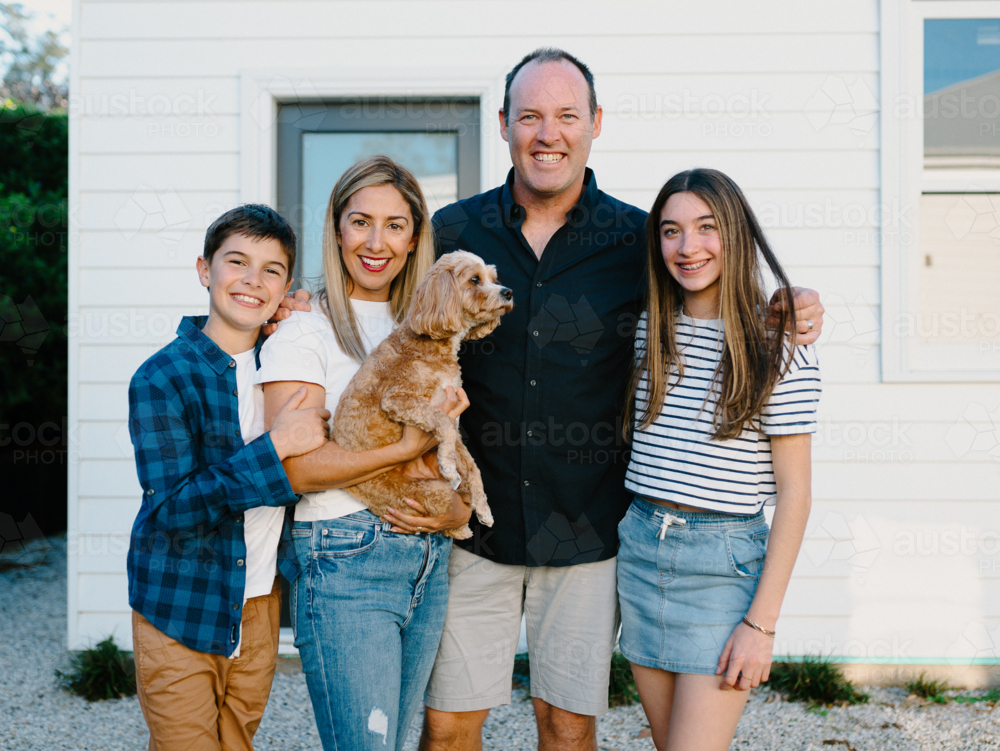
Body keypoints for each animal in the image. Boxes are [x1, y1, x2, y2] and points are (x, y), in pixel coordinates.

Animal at [334, 253, 512, 540]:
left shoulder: (454, 418)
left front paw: (483, 507)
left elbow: (472, 466)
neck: (432, 343)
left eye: (493, 278)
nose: (508, 292)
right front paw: (449, 466)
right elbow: (444, 424)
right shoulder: (400, 400)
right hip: (428, 493)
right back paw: (461, 528)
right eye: (474, 279)